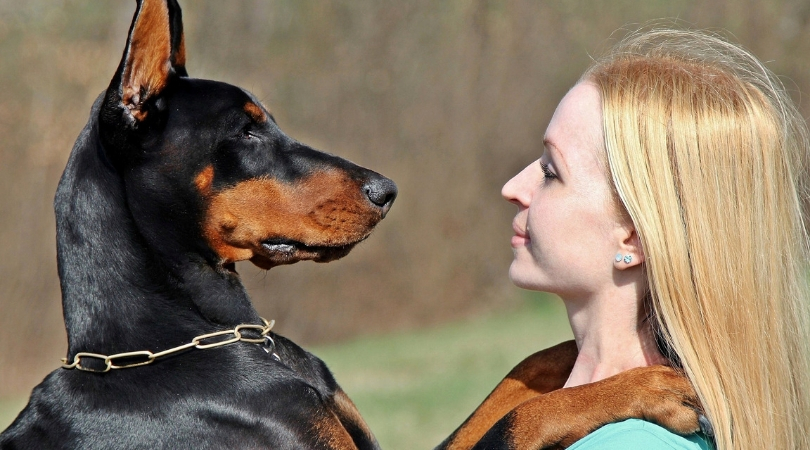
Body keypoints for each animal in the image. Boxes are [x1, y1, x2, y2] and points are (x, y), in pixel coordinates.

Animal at [0, 1, 704, 448]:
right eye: (246, 130)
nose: (385, 190)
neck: (201, 338)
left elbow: (510, 390)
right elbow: (520, 421)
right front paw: (649, 385)